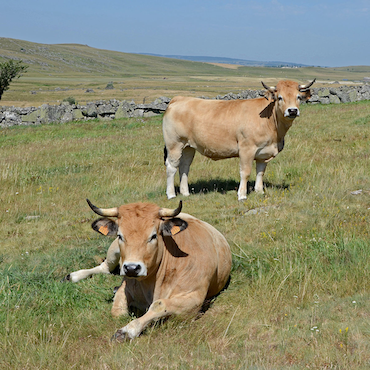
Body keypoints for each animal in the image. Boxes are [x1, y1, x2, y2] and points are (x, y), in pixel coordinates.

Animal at [65, 199, 230, 342]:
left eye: (153, 236)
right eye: (120, 235)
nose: (131, 268)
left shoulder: (194, 297)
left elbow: (159, 305)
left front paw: (127, 330)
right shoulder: (126, 286)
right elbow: (118, 311)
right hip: (114, 252)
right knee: (105, 267)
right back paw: (73, 276)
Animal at [163, 78, 316, 199]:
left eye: (298, 97)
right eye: (280, 97)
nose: (292, 111)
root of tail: (179, 98)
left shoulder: (263, 152)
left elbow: (260, 172)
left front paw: (259, 191)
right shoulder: (246, 149)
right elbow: (246, 172)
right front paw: (242, 195)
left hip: (188, 146)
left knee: (184, 166)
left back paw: (185, 193)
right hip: (174, 144)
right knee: (172, 167)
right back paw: (171, 194)